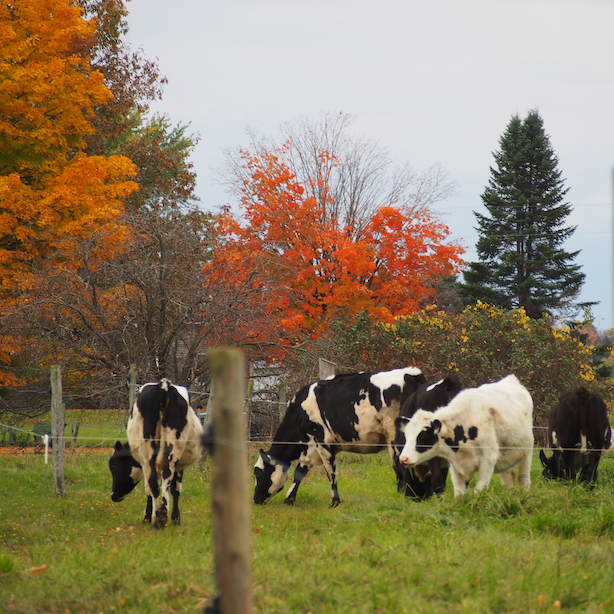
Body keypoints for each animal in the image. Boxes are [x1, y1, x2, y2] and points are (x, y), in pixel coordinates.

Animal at [109, 380, 205, 528]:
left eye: (113, 467)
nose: (113, 495)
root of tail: (163, 384)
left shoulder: (144, 464)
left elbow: (151, 489)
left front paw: (147, 517)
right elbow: (175, 489)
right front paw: (175, 519)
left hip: (149, 450)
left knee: (153, 482)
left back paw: (157, 519)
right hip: (172, 448)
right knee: (165, 475)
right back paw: (161, 516)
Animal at [253, 368, 426, 508]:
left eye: (257, 472)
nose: (255, 499)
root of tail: (413, 374)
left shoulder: (321, 440)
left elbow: (331, 472)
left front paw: (334, 502)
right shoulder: (312, 447)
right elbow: (300, 471)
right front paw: (289, 500)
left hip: (394, 436)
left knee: (400, 466)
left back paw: (404, 498)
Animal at [400, 376, 536, 500]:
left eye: (423, 435)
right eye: (406, 435)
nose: (403, 458)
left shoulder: (487, 462)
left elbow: (478, 492)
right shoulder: (454, 465)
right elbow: (460, 495)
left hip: (526, 454)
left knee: (524, 480)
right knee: (508, 482)